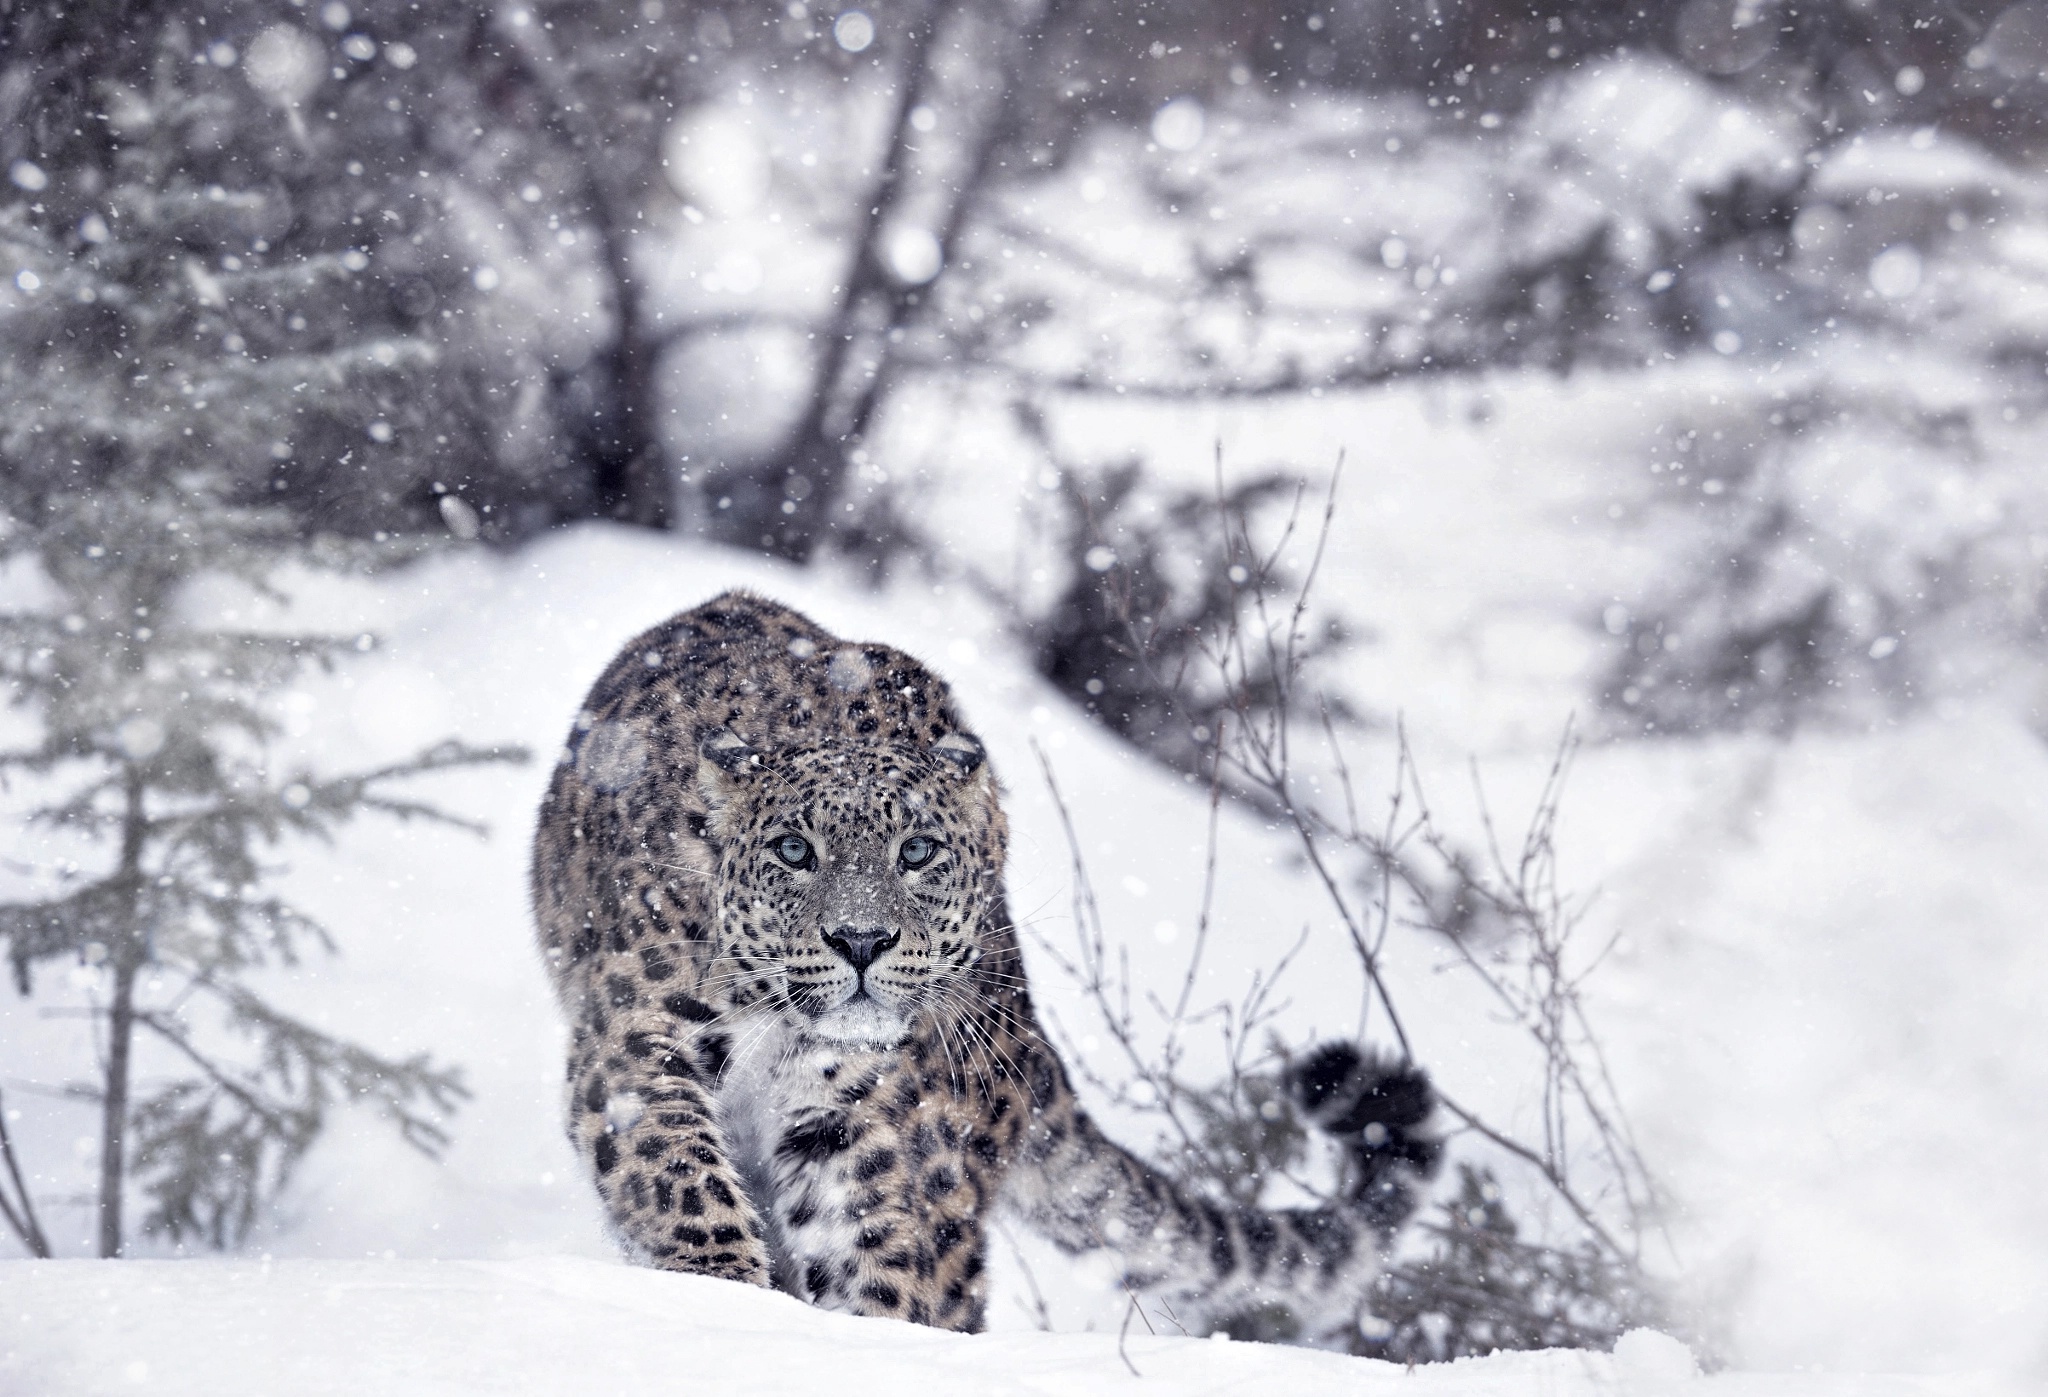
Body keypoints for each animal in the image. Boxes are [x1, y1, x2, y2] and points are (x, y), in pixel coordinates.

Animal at [532, 585, 1441, 1327]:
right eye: (794, 850)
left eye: (918, 850)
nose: (861, 940)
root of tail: (1029, 1040)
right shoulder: (638, 1035)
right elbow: (675, 1167)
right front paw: (720, 1286)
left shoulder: (860, 1117)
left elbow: (880, 1257)